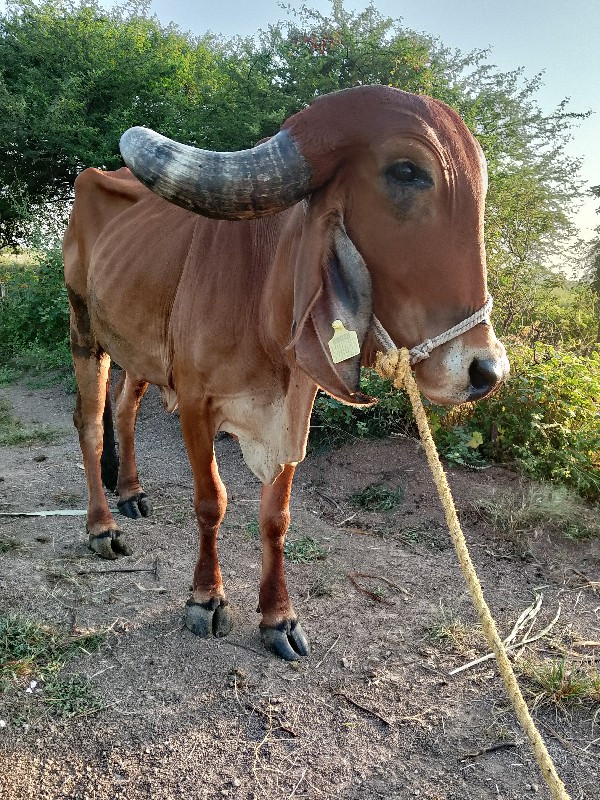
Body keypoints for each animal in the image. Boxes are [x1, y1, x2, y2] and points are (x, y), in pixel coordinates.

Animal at [63, 86, 508, 664]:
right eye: (407, 170)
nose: (487, 370)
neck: (260, 299)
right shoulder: (195, 404)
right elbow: (211, 502)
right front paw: (206, 598)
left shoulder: (296, 409)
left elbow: (276, 517)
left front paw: (277, 617)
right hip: (84, 330)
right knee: (91, 423)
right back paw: (102, 526)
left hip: (137, 351)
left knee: (123, 409)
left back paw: (132, 493)